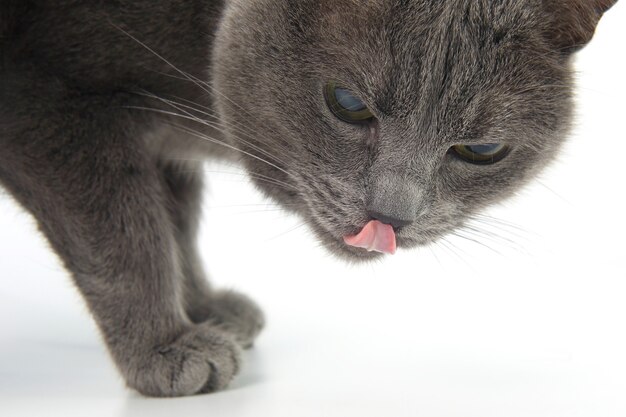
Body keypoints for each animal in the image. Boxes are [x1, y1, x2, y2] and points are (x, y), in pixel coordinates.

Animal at [0, 0, 616, 396]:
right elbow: (125, 234)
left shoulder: (161, 143)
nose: (390, 214)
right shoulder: (48, 102)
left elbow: (177, 222)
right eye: (347, 102)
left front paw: (205, 309)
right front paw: (167, 346)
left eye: (483, 149)